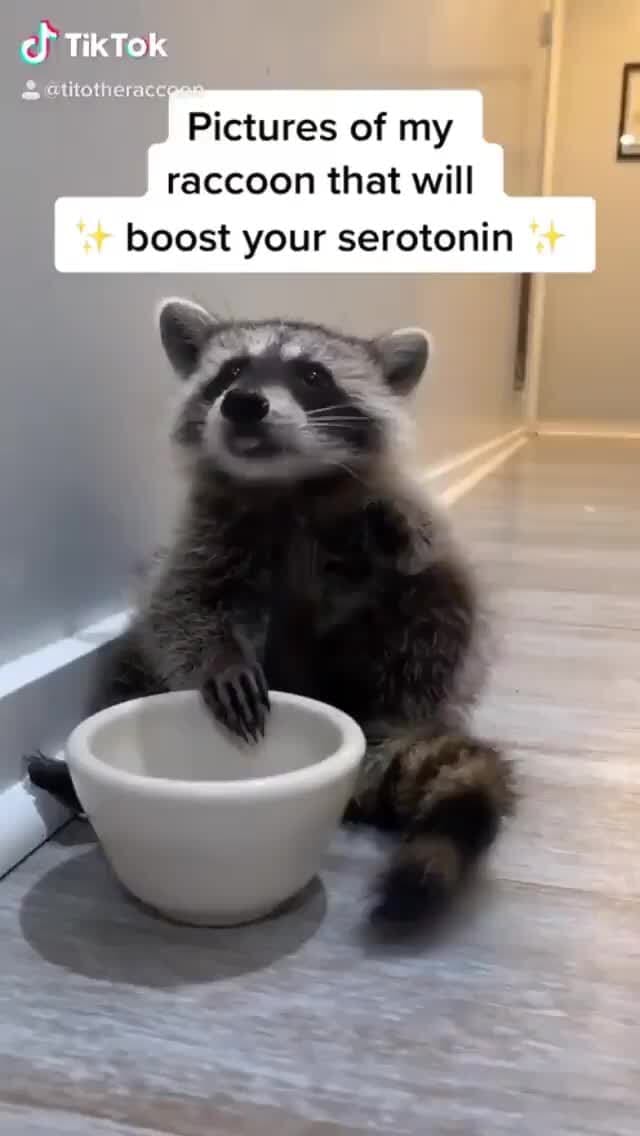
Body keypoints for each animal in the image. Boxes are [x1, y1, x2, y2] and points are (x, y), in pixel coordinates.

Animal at [29, 299, 514, 923]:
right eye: (232, 371)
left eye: (312, 375)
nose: (243, 403)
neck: (284, 484)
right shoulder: (206, 538)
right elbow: (183, 606)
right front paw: (223, 660)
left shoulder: (383, 506)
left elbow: (423, 549)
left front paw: (400, 537)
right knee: (133, 656)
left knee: (444, 599)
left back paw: (396, 714)